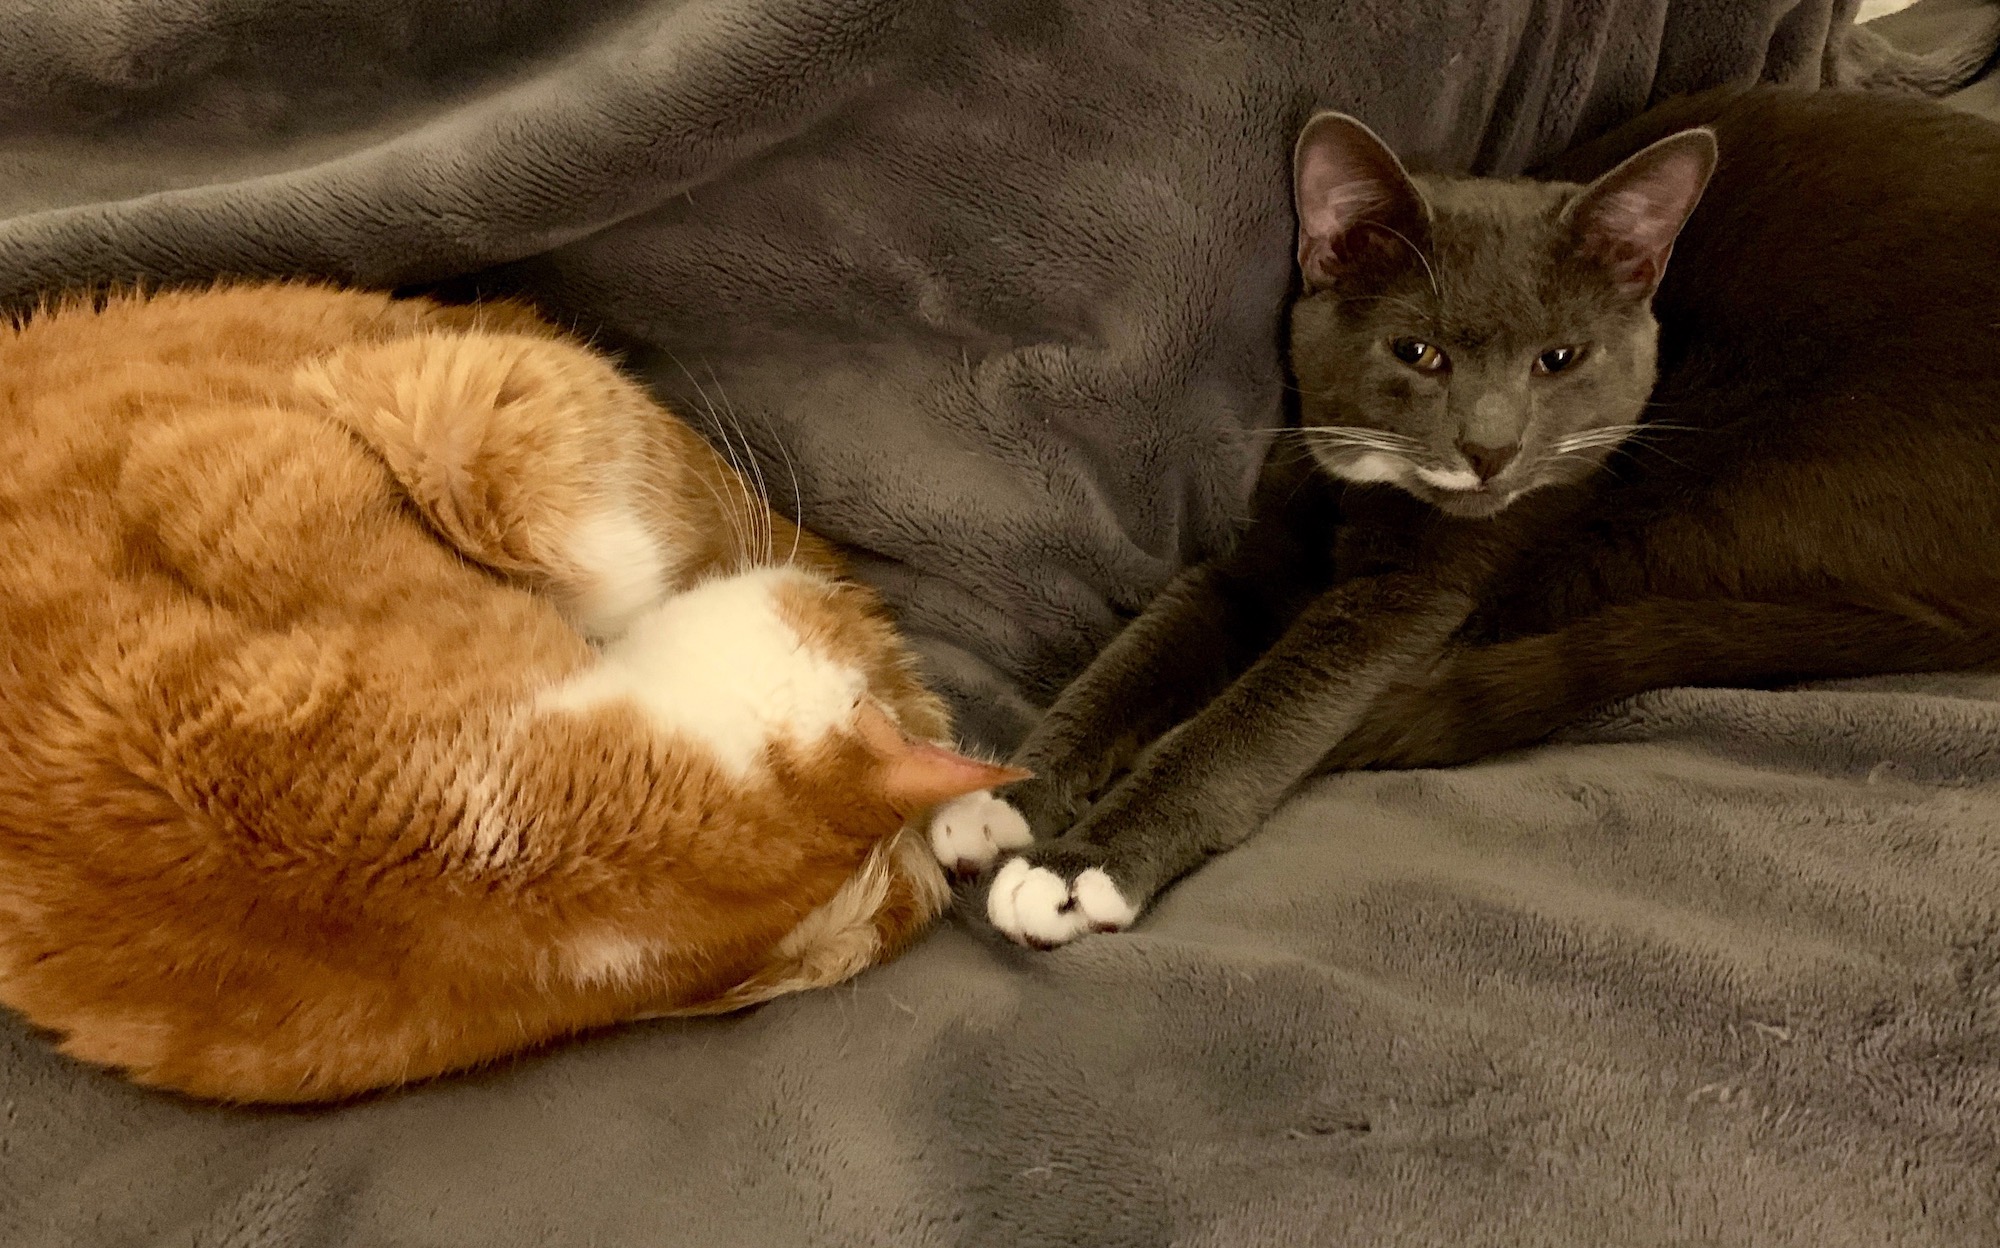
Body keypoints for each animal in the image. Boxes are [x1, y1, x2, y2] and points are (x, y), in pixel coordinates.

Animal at [932, 90, 2000, 944]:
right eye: (1418, 352)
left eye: (1559, 360)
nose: (1491, 448)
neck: (1370, 488)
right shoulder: (1262, 546)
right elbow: (1140, 654)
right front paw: (999, 802)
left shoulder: (1422, 591)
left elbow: (1256, 715)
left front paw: (1079, 870)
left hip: (1719, 493)